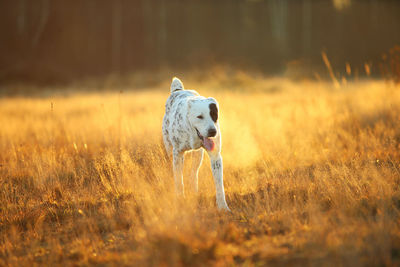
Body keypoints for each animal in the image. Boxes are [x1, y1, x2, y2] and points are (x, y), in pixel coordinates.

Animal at [162, 77, 230, 211]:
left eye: (214, 115)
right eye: (199, 117)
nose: (212, 131)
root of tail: (178, 90)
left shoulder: (215, 156)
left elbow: (219, 185)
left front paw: (222, 207)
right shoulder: (177, 153)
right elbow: (179, 180)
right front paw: (180, 198)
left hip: (198, 155)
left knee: (193, 173)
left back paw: (194, 191)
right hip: (169, 148)